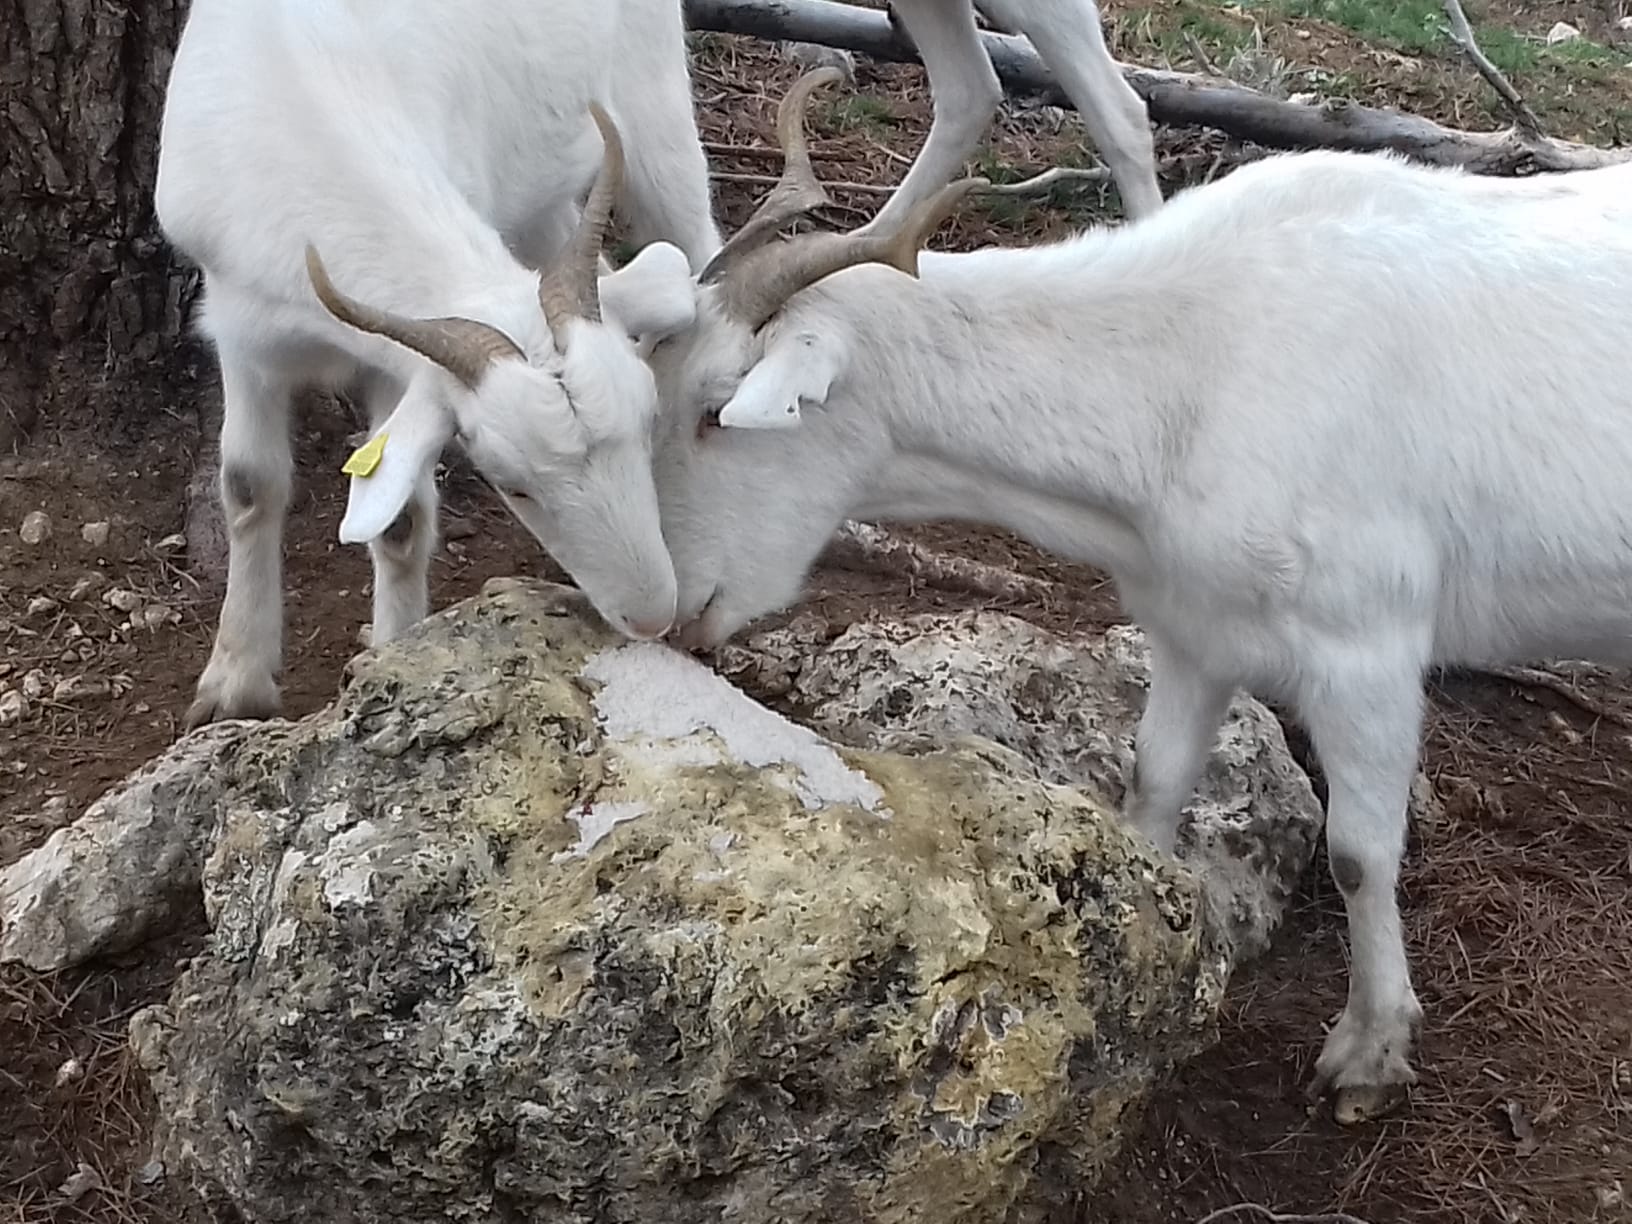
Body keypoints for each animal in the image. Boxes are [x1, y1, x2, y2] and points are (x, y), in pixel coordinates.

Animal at [155, 0, 718, 727]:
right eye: (512, 485)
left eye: (647, 426)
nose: (651, 617)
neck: (308, 102)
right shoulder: (241, 328)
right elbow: (249, 484)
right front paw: (234, 685)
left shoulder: (396, 365)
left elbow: (399, 522)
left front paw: (393, 659)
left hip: (655, 94)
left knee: (698, 237)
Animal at [603, 69, 1632, 1122]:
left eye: (717, 409)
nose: (666, 611)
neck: (1185, 373)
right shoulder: (1195, 626)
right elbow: (1155, 779)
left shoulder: (1366, 638)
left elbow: (1358, 852)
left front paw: (1369, 1054)